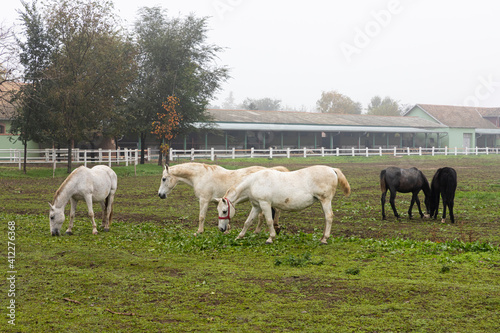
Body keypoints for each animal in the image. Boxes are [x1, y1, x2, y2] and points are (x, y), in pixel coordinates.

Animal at [156, 162, 290, 235]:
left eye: (164, 179)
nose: (160, 195)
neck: (201, 176)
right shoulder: (219, 202)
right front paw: (226, 229)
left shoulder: (204, 200)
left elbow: (201, 217)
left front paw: (199, 232)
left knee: (264, 215)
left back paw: (260, 231)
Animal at [217, 164, 350, 244]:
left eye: (224, 211)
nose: (222, 229)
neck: (253, 182)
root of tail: (332, 169)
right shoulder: (256, 206)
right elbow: (248, 222)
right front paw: (239, 237)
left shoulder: (265, 204)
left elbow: (269, 221)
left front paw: (270, 238)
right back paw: (322, 237)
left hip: (325, 200)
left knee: (329, 217)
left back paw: (324, 239)